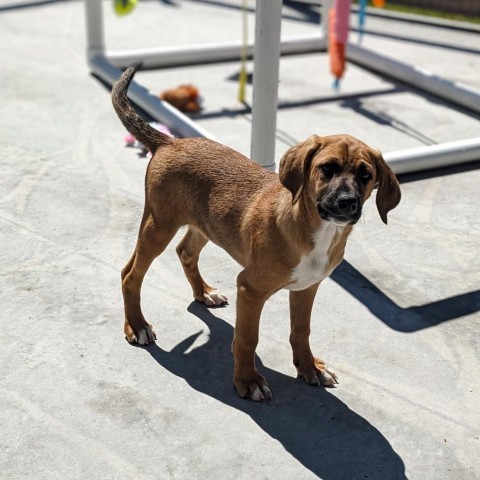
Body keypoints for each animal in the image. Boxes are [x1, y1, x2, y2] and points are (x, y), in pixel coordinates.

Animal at [112, 64, 402, 402]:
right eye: (327, 168)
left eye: (366, 175)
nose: (347, 202)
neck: (315, 230)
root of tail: (170, 142)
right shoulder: (249, 288)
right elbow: (248, 338)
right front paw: (248, 380)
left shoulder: (306, 288)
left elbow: (301, 331)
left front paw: (309, 368)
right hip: (159, 225)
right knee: (130, 274)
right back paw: (137, 325)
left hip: (204, 223)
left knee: (185, 252)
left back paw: (203, 292)